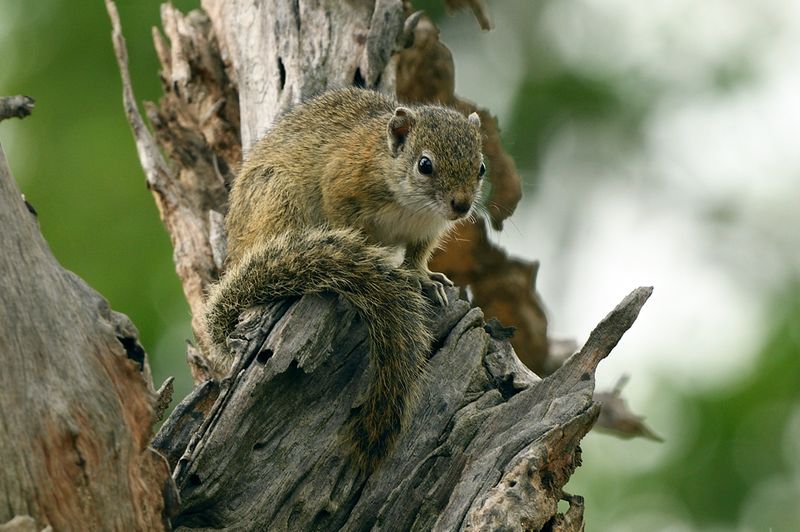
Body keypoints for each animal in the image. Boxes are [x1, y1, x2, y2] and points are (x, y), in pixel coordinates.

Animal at [203, 87, 484, 470]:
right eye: (425, 165)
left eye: (481, 168)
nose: (462, 205)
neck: (411, 206)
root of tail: (236, 250)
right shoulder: (341, 184)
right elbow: (349, 227)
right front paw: (383, 265)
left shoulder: (426, 232)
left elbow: (417, 257)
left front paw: (425, 279)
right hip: (277, 197)